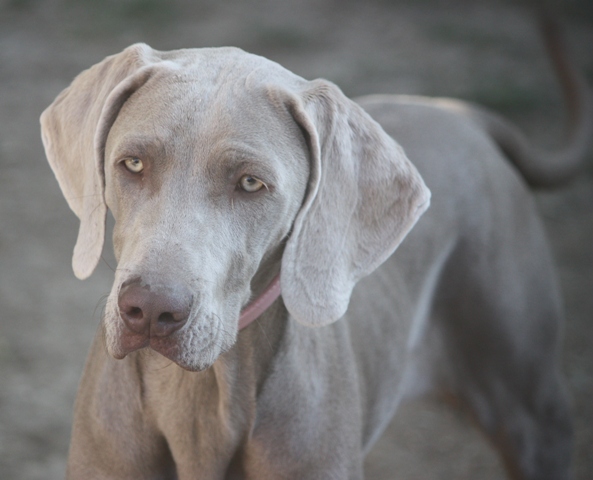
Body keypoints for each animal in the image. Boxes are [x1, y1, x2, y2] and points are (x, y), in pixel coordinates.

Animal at [40, 15, 588, 480]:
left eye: (251, 183)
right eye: (132, 164)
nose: (150, 309)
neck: (198, 396)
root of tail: (459, 112)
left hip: (531, 408)